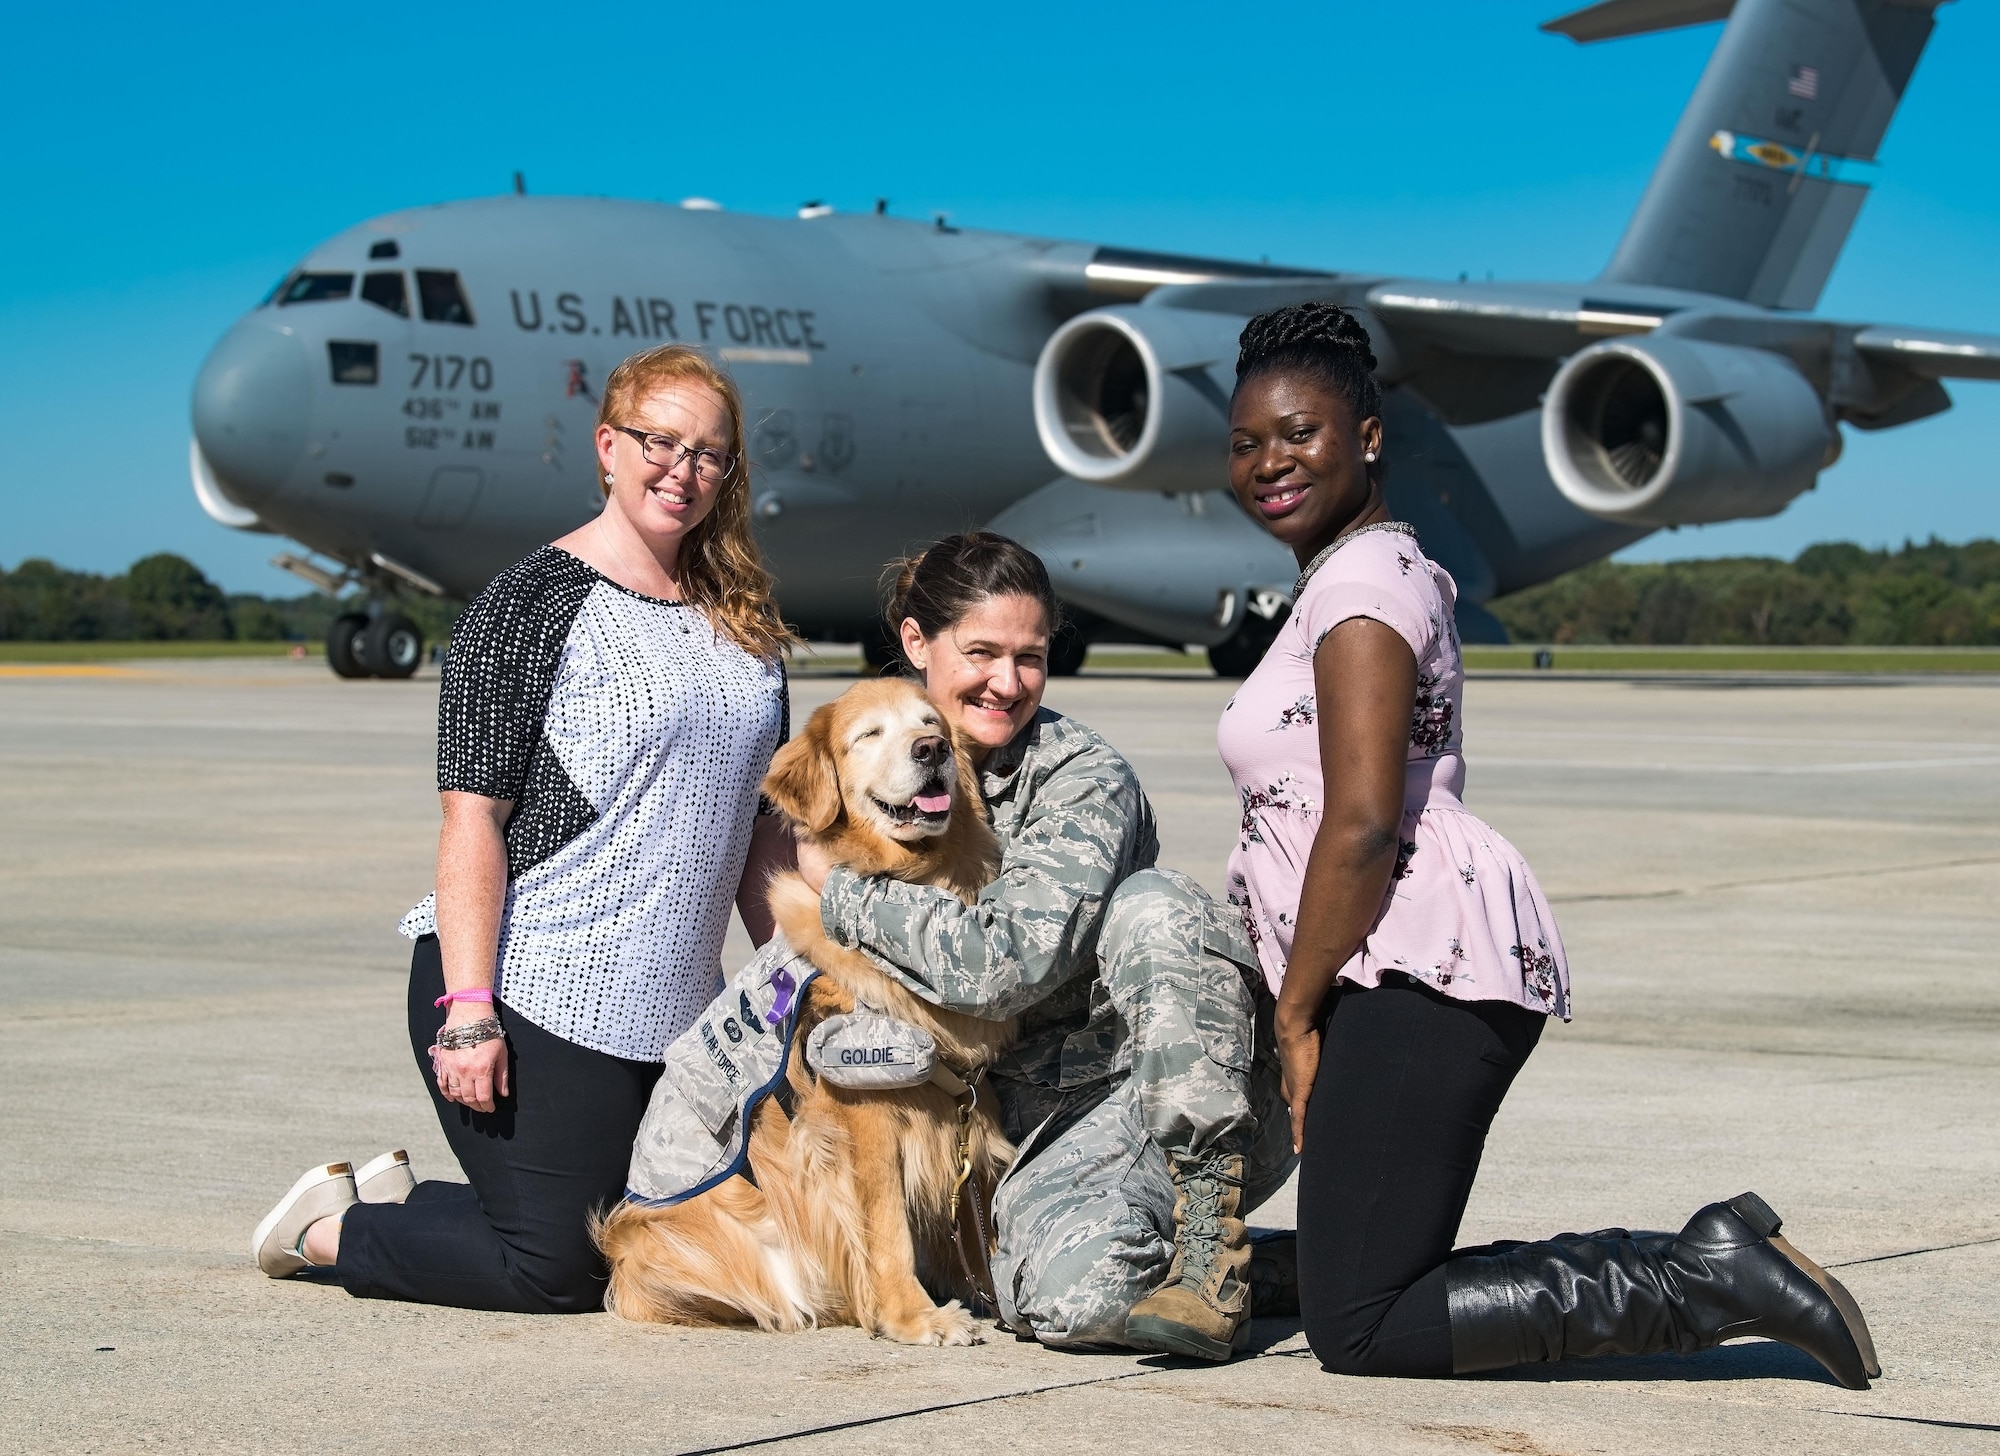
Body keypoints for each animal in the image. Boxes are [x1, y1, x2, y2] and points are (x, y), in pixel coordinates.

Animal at [596, 676, 1016, 1344]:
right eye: (868, 735)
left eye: (931, 723)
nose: (931, 750)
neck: (916, 882)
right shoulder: (863, 1123)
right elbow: (887, 1228)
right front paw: (914, 1316)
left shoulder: (963, 1107)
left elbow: (973, 1221)